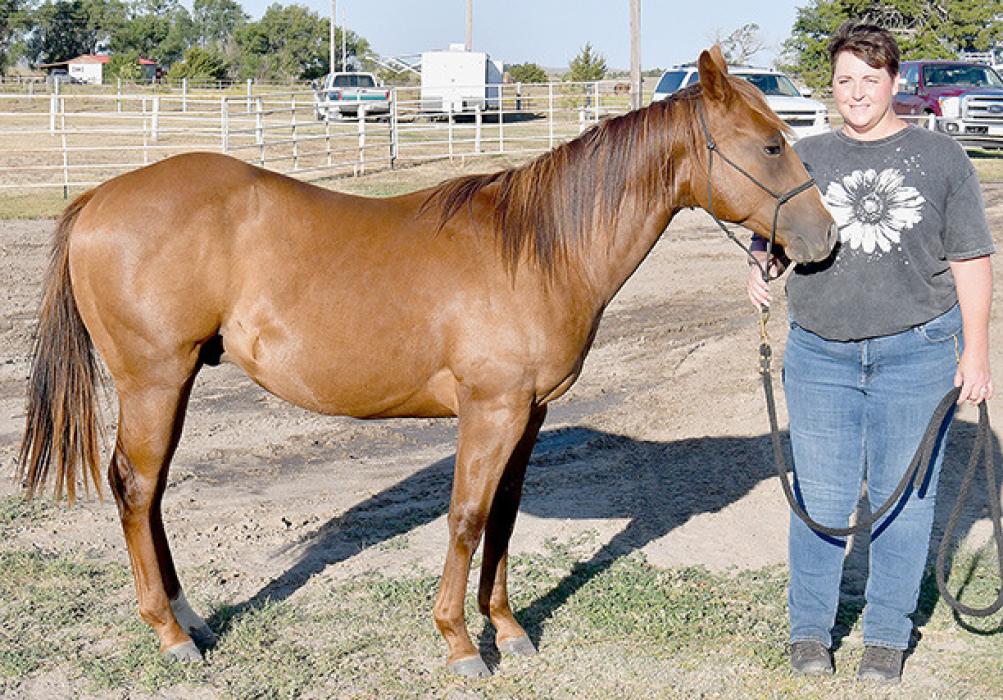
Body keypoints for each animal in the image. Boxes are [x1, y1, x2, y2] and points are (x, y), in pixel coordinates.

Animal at [18, 47, 836, 677]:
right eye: (770, 145)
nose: (824, 240)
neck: (537, 250)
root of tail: (98, 199)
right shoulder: (489, 410)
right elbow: (467, 519)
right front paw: (460, 645)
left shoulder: (528, 415)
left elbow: (503, 518)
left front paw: (508, 629)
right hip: (154, 379)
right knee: (134, 488)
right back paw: (170, 634)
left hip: (176, 380)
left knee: (150, 493)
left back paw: (190, 616)